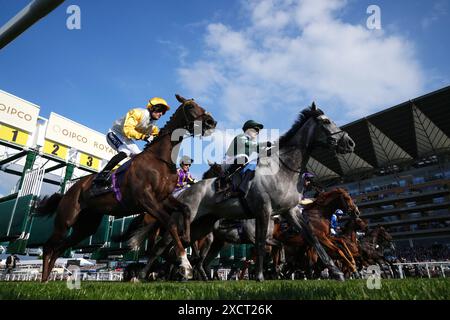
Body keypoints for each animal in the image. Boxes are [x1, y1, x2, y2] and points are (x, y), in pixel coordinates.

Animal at [34, 94, 216, 280]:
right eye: (190, 106)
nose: (211, 122)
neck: (160, 159)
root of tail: (68, 192)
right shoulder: (145, 199)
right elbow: (171, 222)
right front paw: (185, 264)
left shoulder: (163, 198)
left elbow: (185, 210)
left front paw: (186, 240)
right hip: (66, 219)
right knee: (49, 247)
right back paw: (43, 281)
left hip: (86, 226)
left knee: (60, 248)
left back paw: (47, 279)